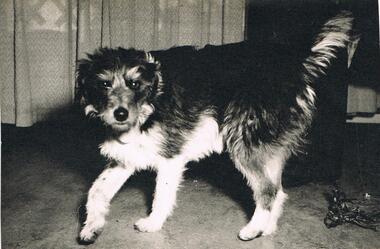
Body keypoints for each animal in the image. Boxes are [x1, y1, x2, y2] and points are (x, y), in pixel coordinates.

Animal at [76, 11, 356, 243]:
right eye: (104, 84)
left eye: (134, 84)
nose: (120, 114)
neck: (152, 100)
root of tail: (295, 64)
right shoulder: (124, 159)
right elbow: (96, 192)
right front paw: (91, 227)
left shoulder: (170, 158)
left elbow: (161, 196)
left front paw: (153, 223)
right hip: (268, 148)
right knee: (278, 191)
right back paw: (267, 228)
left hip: (244, 143)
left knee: (267, 191)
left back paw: (253, 229)